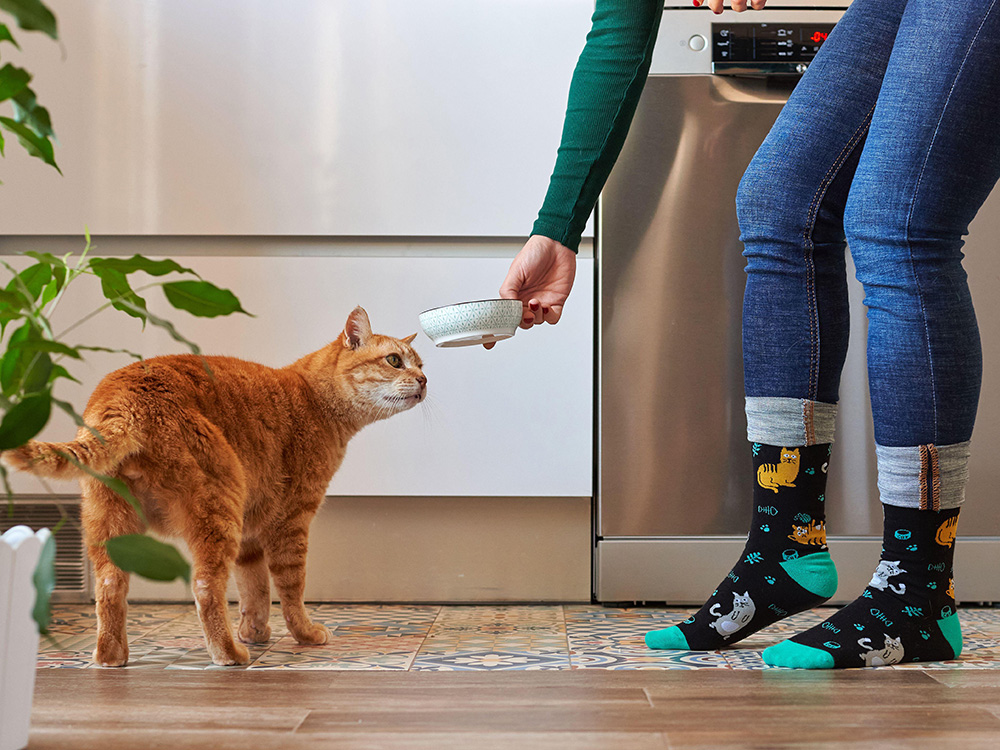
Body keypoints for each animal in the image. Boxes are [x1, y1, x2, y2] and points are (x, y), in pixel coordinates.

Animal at [0, 308, 422, 668]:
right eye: (394, 361)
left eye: (421, 363)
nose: (424, 380)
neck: (314, 399)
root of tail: (122, 399)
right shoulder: (291, 522)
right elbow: (290, 588)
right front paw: (302, 633)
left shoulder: (251, 533)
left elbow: (254, 589)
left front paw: (255, 631)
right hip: (219, 507)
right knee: (204, 586)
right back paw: (229, 654)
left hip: (110, 524)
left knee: (110, 586)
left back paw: (110, 656)